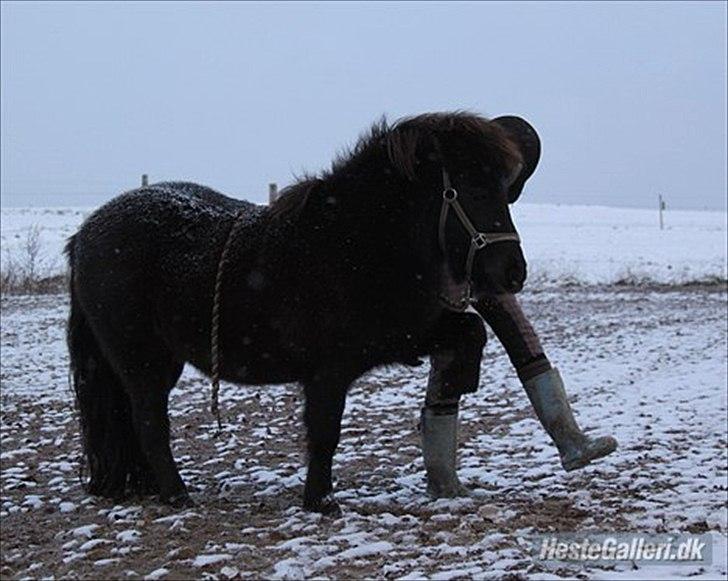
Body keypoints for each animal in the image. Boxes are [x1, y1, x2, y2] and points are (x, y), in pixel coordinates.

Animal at [67, 111, 540, 510]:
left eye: (506, 191)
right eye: (473, 190)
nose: (513, 273)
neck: (352, 240)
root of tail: (85, 233)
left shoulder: (398, 338)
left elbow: (471, 329)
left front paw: (460, 378)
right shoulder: (329, 370)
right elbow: (325, 431)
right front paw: (320, 501)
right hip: (141, 361)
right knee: (149, 423)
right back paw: (177, 495)